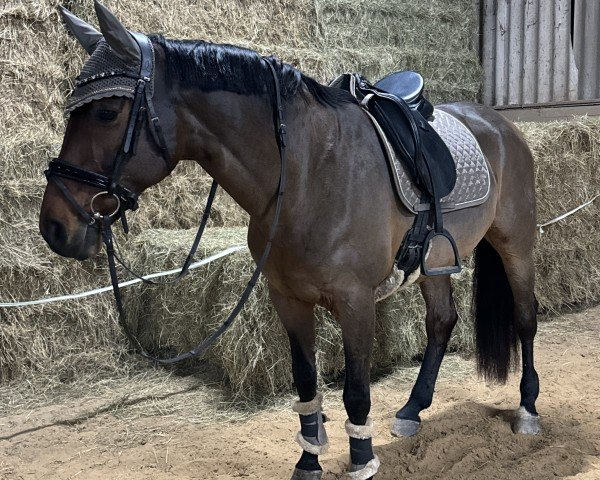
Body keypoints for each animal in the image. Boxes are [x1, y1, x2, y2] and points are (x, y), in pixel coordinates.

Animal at [39, 1, 540, 478]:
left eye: (107, 112)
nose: (55, 226)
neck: (307, 175)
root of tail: (498, 123)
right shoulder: (288, 299)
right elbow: (306, 383)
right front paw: (309, 462)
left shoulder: (356, 302)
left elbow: (356, 392)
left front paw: (362, 461)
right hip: (433, 262)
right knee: (441, 323)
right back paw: (412, 411)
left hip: (516, 245)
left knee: (525, 318)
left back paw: (527, 410)